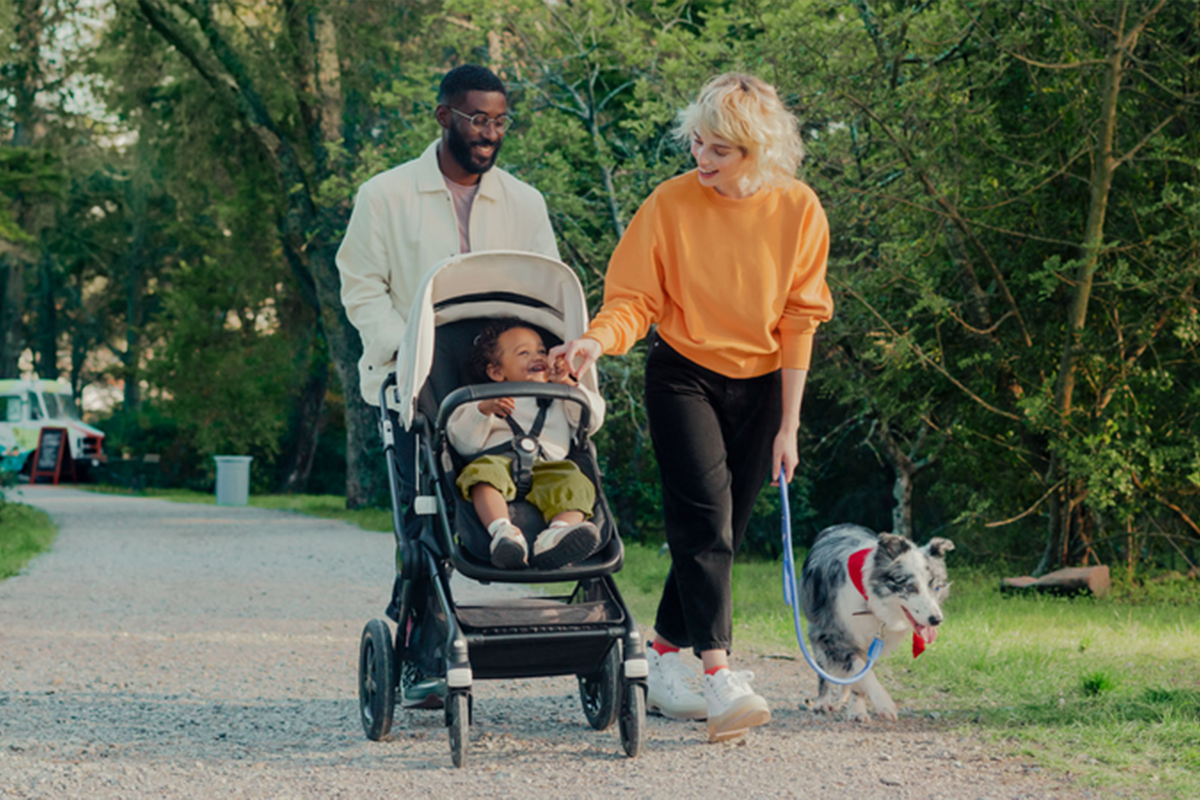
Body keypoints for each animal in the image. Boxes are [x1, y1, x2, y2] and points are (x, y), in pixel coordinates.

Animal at [801, 522, 950, 724]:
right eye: (910, 588)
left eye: (937, 587)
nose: (936, 620)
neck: (872, 603)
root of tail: (839, 525)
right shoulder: (831, 634)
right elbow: (860, 672)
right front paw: (884, 704)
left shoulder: (871, 645)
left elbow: (860, 677)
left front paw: (857, 710)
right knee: (823, 668)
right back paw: (823, 702)